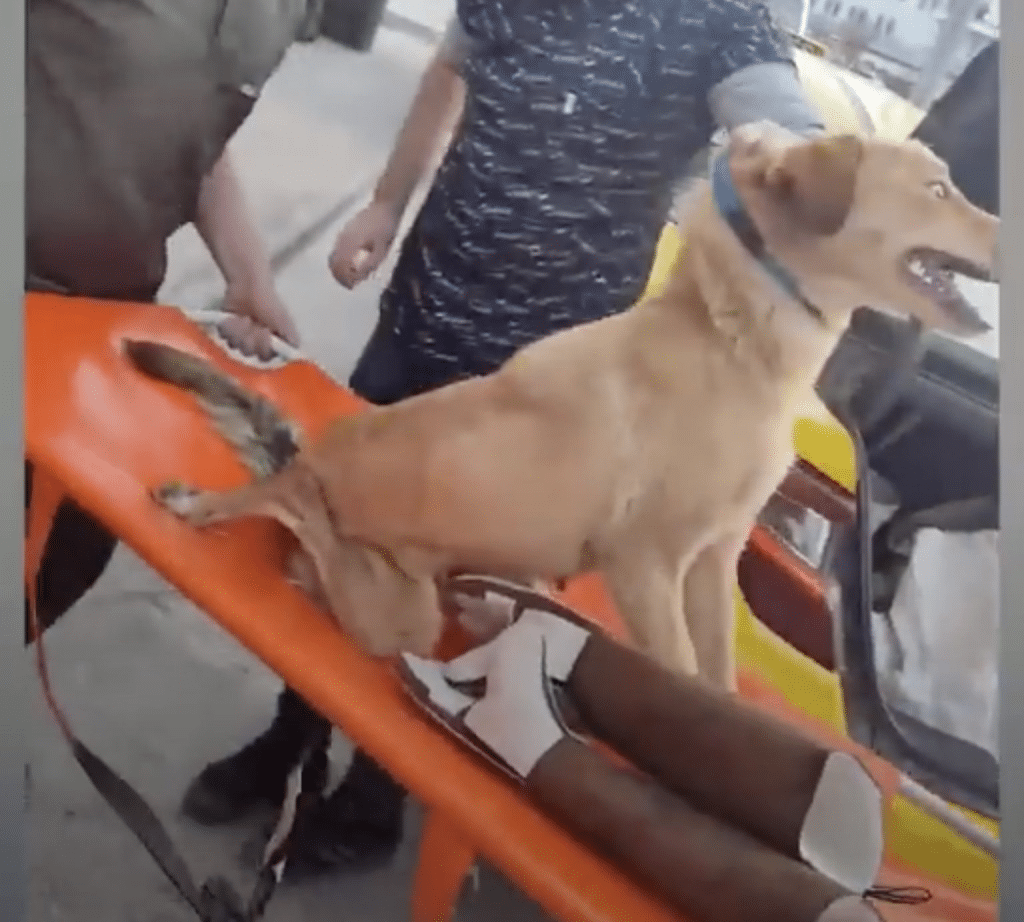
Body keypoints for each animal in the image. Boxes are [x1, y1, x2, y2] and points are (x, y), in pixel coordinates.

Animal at [124, 122, 998, 692]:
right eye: (938, 187)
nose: (1006, 230)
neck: (732, 333)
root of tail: (317, 465)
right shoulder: (647, 564)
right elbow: (681, 676)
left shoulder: (711, 563)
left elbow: (716, 688)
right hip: (384, 598)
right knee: (285, 501)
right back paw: (210, 503)